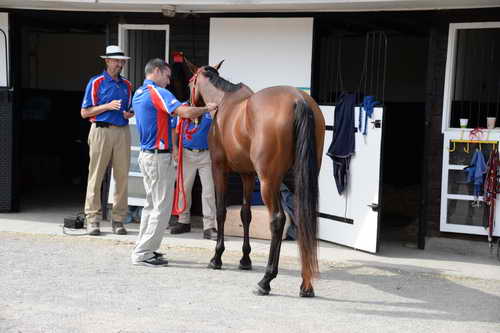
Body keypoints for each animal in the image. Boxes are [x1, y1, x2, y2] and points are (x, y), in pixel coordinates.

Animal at [186, 59, 326, 296]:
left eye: (189, 83)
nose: (192, 112)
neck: (224, 102)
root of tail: (298, 100)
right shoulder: (248, 174)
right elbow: (245, 214)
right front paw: (245, 259)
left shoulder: (219, 169)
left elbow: (221, 211)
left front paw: (217, 257)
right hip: (300, 179)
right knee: (304, 219)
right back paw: (306, 285)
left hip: (269, 182)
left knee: (278, 220)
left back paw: (266, 280)